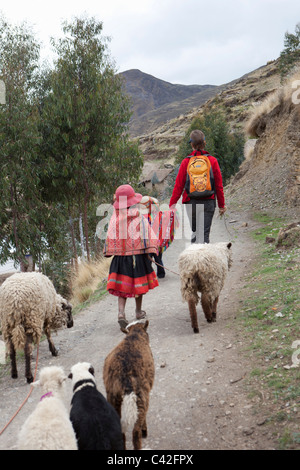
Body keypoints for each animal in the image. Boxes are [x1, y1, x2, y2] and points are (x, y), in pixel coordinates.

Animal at [103, 322, 155, 450]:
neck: (134, 336)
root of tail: (125, 379)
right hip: (141, 396)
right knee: (136, 431)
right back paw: (143, 432)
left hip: (113, 398)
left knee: (121, 431)